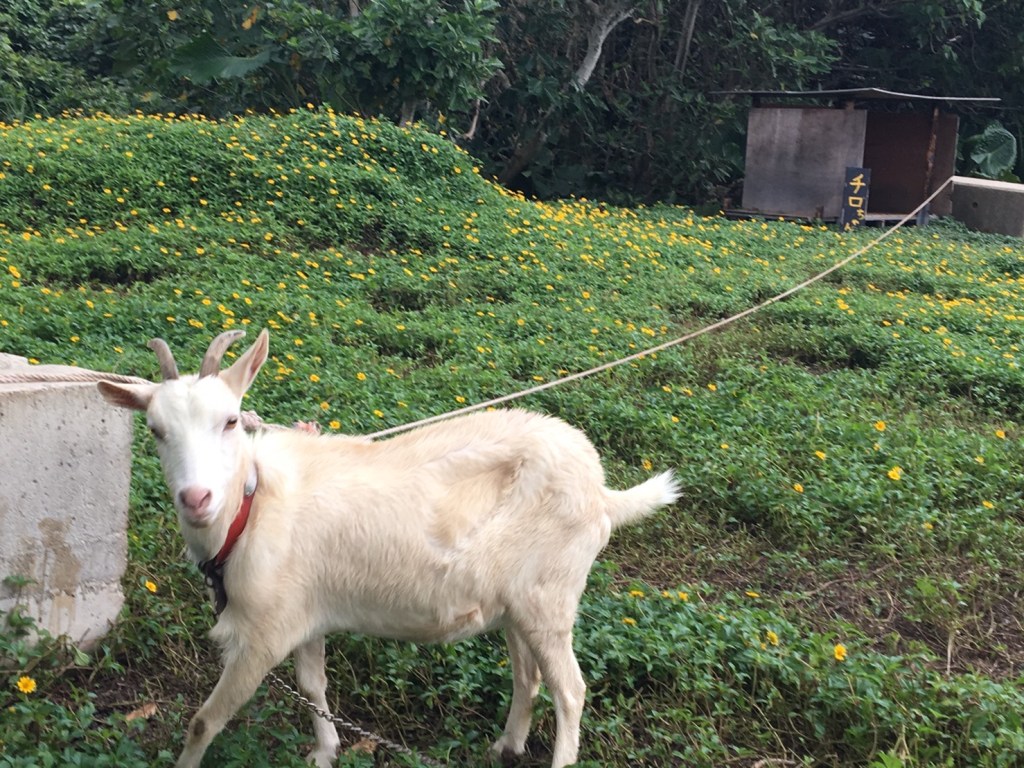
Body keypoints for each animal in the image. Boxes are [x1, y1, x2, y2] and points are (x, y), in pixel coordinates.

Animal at [99, 331, 679, 768]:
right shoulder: (303, 613)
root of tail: (601, 492)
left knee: (571, 690)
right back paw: (506, 745)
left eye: (230, 421)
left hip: (549, 594)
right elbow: (313, 685)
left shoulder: (263, 634)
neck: (254, 506)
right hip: (517, 601)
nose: (196, 498)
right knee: (528, 674)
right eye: (155, 430)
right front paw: (325, 752)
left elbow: (206, 720)